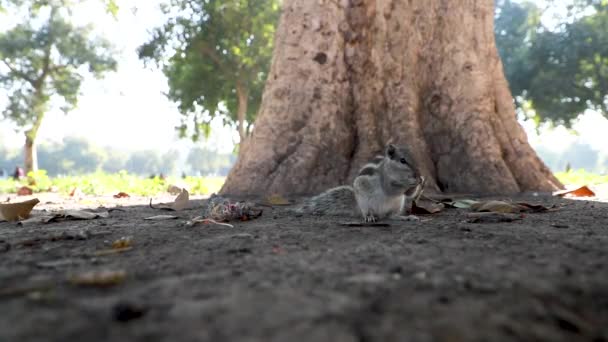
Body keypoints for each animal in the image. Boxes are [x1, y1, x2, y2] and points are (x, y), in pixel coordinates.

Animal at [296, 144, 426, 222]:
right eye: (402, 160)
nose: (417, 174)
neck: (389, 168)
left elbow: (409, 194)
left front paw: (421, 181)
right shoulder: (385, 180)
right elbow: (391, 188)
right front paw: (412, 181)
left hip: (397, 204)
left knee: (391, 216)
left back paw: (406, 217)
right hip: (365, 203)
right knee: (368, 213)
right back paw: (370, 217)